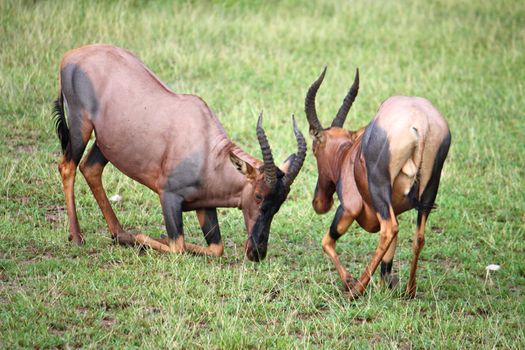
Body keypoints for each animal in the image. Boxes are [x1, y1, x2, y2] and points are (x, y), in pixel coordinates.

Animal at [53, 43, 304, 262]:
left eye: (280, 203)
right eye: (259, 195)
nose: (257, 253)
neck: (207, 149)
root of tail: (71, 55)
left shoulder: (205, 205)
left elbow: (216, 248)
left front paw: (133, 238)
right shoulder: (168, 196)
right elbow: (177, 246)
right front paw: (141, 239)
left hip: (107, 141)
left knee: (90, 168)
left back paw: (119, 233)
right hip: (80, 126)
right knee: (67, 166)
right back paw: (78, 237)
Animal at [302, 67, 450, 298]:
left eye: (315, 148)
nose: (319, 203)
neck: (348, 155)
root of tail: (422, 124)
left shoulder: (349, 208)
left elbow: (327, 241)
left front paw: (349, 281)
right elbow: (389, 256)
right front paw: (386, 286)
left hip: (379, 188)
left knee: (389, 229)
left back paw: (356, 290)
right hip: (429, 190)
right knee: (418, 236)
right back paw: (409, 290)